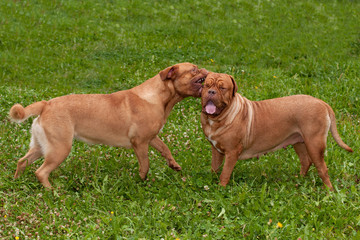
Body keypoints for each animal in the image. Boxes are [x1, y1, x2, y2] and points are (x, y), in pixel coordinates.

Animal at [9, 62, 208, 189]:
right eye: (194, 70)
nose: (207, 71)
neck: (160, 98)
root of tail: (45, 104)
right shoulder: (140, 142)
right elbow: (145, 164)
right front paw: (141, 181)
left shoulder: (152, 138)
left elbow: (165, 149)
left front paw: (173, 164)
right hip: (60, 148)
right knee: (41, 172)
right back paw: (52, 192)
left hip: (41, 147)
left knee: (22, 162)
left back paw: (17, 182)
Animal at [201, 72, 352, 190]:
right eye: (207, 85)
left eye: (222, 88)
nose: (211, 92)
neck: (217, 119)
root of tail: (323, 103)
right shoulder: (216, 150)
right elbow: (215, 167)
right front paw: (211, 181)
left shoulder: (232, 152)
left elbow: (225, 173)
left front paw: (221, 188)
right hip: (299, 142)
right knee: (305, 161)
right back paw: (299, 179)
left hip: (314, 144)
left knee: (322, 169)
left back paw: (329, 190)